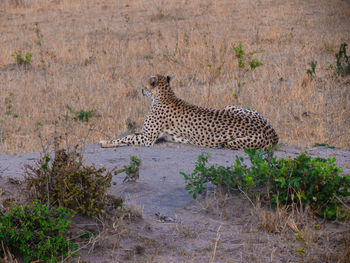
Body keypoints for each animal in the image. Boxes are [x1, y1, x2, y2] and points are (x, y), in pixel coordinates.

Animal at [100, 74, 278, 151]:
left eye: (144, 85)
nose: (141, 91)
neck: (165, 94)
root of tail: (273, 132)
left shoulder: (147, 139)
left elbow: (127, 137)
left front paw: (105, 142)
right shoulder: (147, 135)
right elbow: (130, 134)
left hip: (230, 142)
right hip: (229, 106)